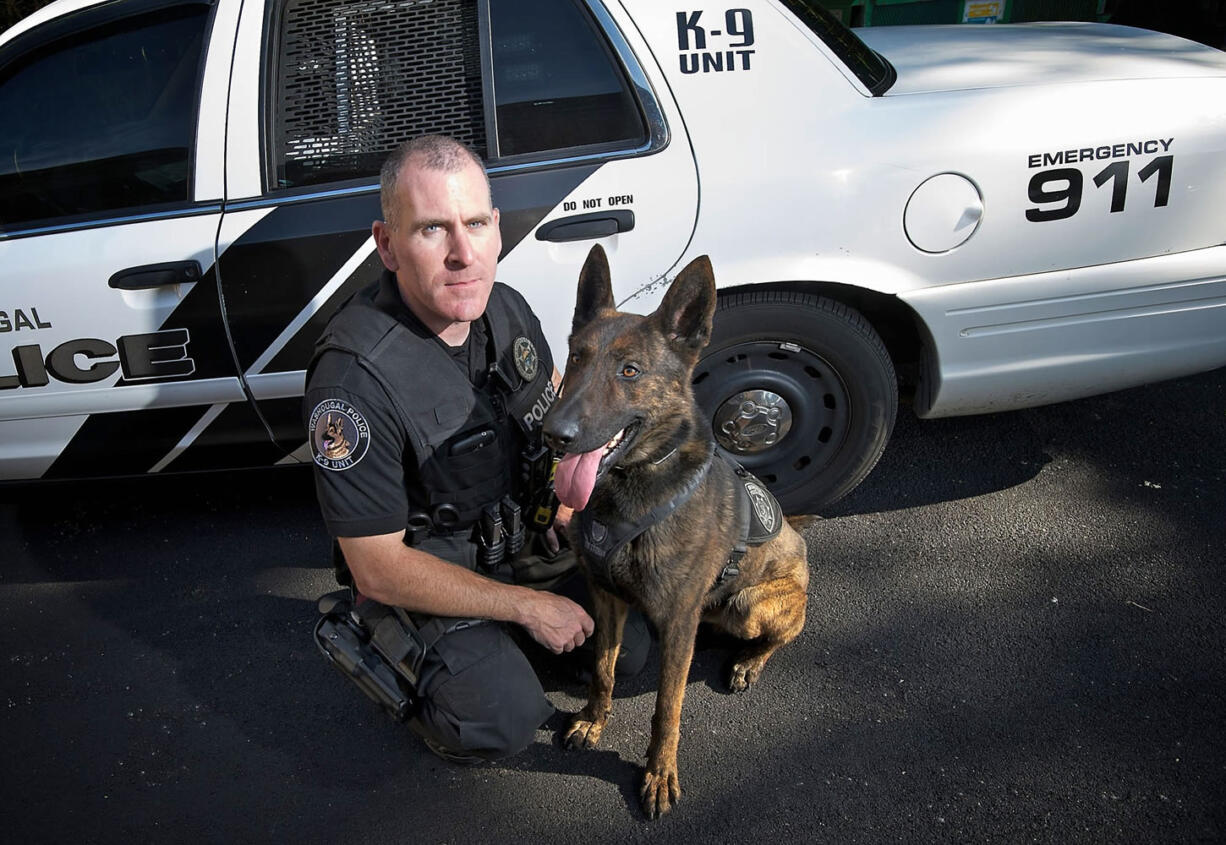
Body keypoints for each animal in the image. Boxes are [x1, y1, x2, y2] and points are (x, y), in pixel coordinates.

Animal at [541, 244, 809, 819]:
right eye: (575, 359)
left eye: (630, 370)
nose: (553, 434)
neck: (632, 486)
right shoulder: (607, 599)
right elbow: (603, 667)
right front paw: (593, 721)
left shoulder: (678, 621)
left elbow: (669, 706)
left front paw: (659, 773)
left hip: (751, 605)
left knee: (784, 633)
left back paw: (749, 663)